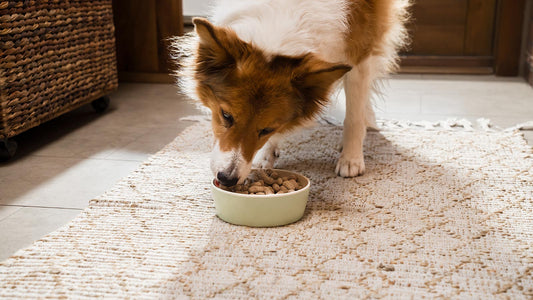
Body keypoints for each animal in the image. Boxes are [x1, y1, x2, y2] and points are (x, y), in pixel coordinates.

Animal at [172, 0, 410, 188]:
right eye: (226, 116)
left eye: (266, 129)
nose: (227, 178)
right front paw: (266, 154)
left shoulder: (359, 54)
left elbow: (353, 115)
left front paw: (351, 159)